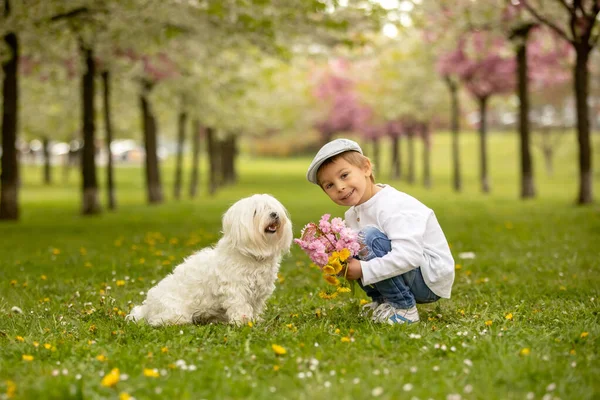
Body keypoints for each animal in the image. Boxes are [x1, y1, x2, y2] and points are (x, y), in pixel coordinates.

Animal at [126, 195, 292, 328]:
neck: (253, 254)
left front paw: (255, 320)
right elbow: (240, 306)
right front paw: (243, 322)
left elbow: (255, 307)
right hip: (174, 311)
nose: (274, 214)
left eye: (272, 207)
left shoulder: (258, 293)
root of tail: (147, 309)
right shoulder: (236, 290)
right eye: (256, 212)